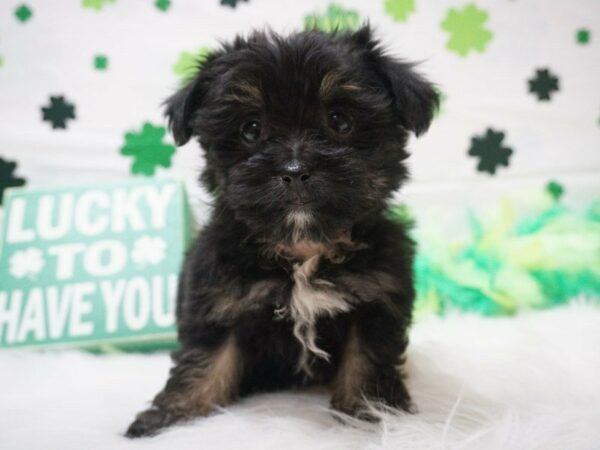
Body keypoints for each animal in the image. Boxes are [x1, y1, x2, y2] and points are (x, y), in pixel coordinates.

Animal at [125, 26, 436, 438]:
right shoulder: (220, 298)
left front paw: (370, 413)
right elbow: (204, 360)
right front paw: (174, 417)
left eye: (340, 121)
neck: (303, 250)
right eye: (251, 128)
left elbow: (367, 359)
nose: (294, 169)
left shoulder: (375, 297)